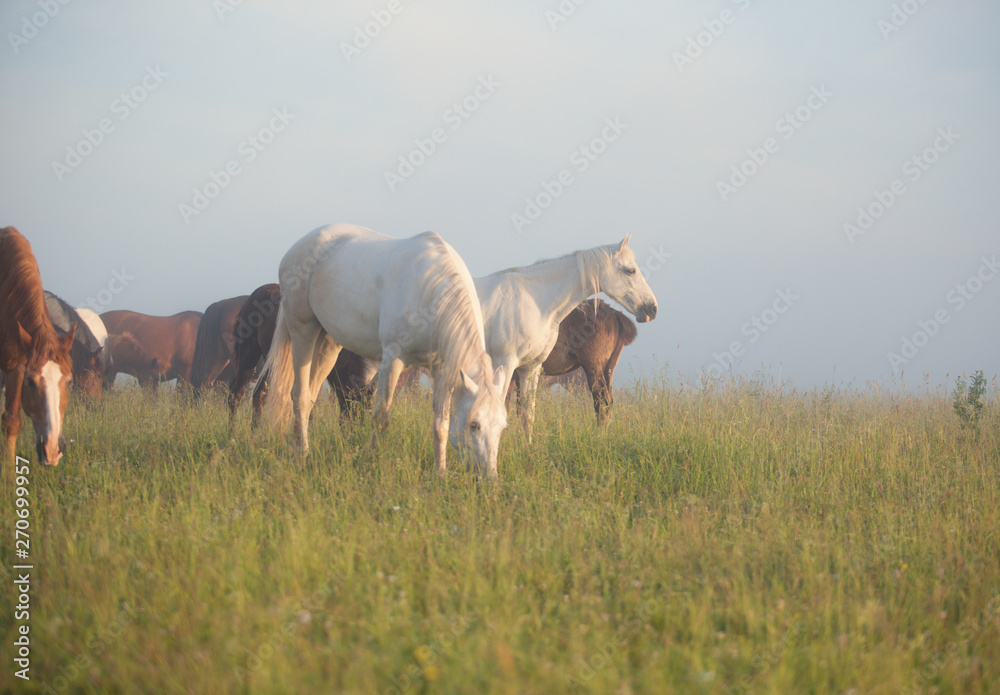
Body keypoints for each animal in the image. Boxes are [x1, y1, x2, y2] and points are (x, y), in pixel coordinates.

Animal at [0, 227, 75, 467]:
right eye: (31, 383)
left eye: (69, 382)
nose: (52, 449)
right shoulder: (14, 369)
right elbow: (11, 421)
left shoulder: (16, 367)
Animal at [263, 224, 506, 477]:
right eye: (474, 425)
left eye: (502, 427)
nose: (490, 478)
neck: (432, 294)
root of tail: (297, 248)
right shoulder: (392, 360)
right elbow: (381, 416)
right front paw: (369, 461)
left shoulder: (441, 370)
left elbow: (441, 424)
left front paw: (440, 473)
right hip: (303, 330)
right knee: (299, 396)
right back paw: (304, 454)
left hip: (328, 343)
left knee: (310, 395)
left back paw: (296, 448)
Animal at [474, 236, 657, 440]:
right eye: (630, 271)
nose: (652, 308)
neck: (534, 301)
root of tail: (616, 316)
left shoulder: (518, 367)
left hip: (594, 369)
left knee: (602, 403)